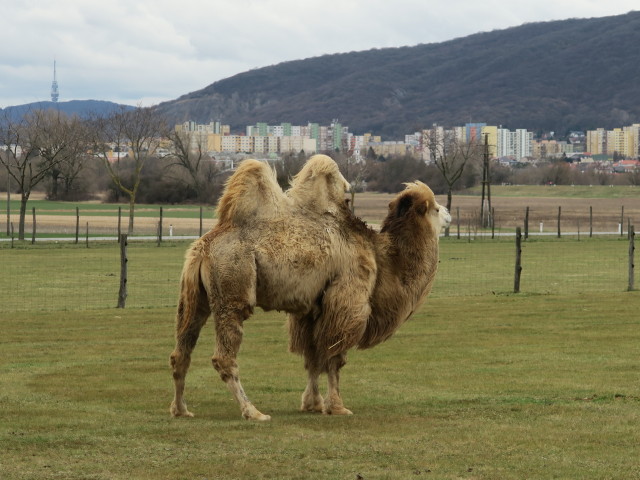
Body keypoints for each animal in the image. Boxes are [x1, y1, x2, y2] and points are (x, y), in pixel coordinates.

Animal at [170, 154, 450, 420]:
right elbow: (334, 357)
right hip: (232, 290)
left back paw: (181, 409)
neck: (379, 254)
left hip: (195, 297)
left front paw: (313, 404)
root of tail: (204, 247)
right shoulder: (347, 299)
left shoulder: (311, 308)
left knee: (181, 351)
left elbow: (312, 356)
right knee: (224, 356)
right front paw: (337, 407)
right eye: (435, 208)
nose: (449, 214)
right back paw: (253, 411)